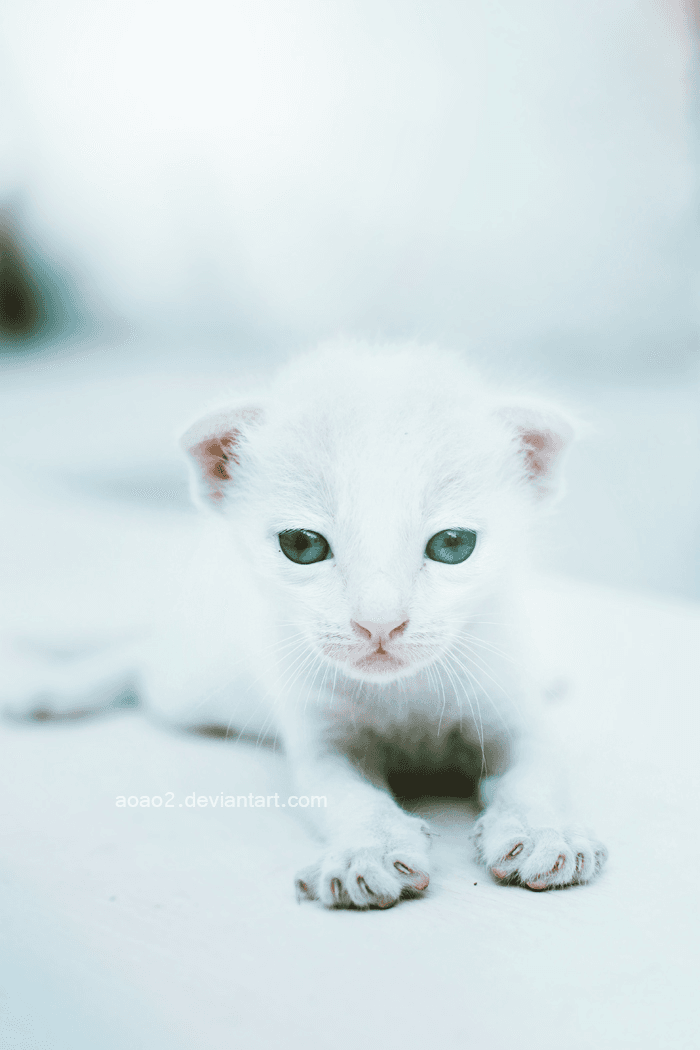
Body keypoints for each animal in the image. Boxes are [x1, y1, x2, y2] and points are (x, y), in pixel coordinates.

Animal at [139, 344, 604, 911]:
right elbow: (348, 797)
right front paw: (369, 851)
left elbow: (535, 777)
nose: (379, 623)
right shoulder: (319, 739)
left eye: (452, 544)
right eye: (301, 545)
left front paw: (544, 834)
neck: (404, 694)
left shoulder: (512, 714)